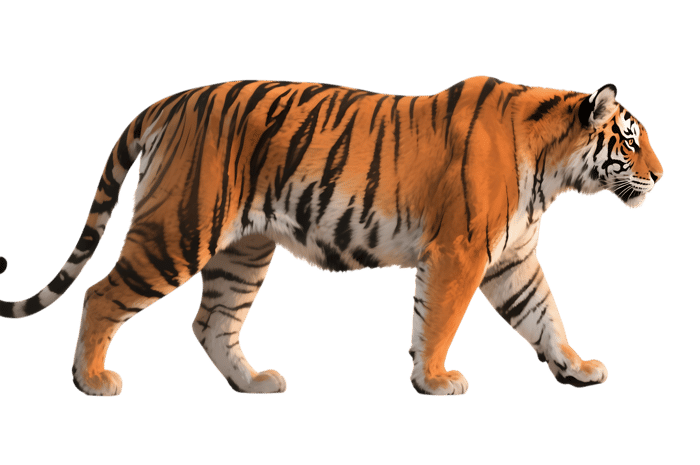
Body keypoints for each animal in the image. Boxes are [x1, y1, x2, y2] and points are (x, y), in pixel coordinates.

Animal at [0, 76, 663, 397]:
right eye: (630, 142)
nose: (661, 175)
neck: (553, 169)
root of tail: (173, 99)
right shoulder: (461, 252)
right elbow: (439, 321)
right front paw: (435, 380)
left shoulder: (512, 259)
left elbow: (545, 316)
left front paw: (576, 367)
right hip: (179, 229)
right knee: (102, 295)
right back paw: (92, 381)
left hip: (243, 251)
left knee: (212, 323)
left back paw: (254, 384)